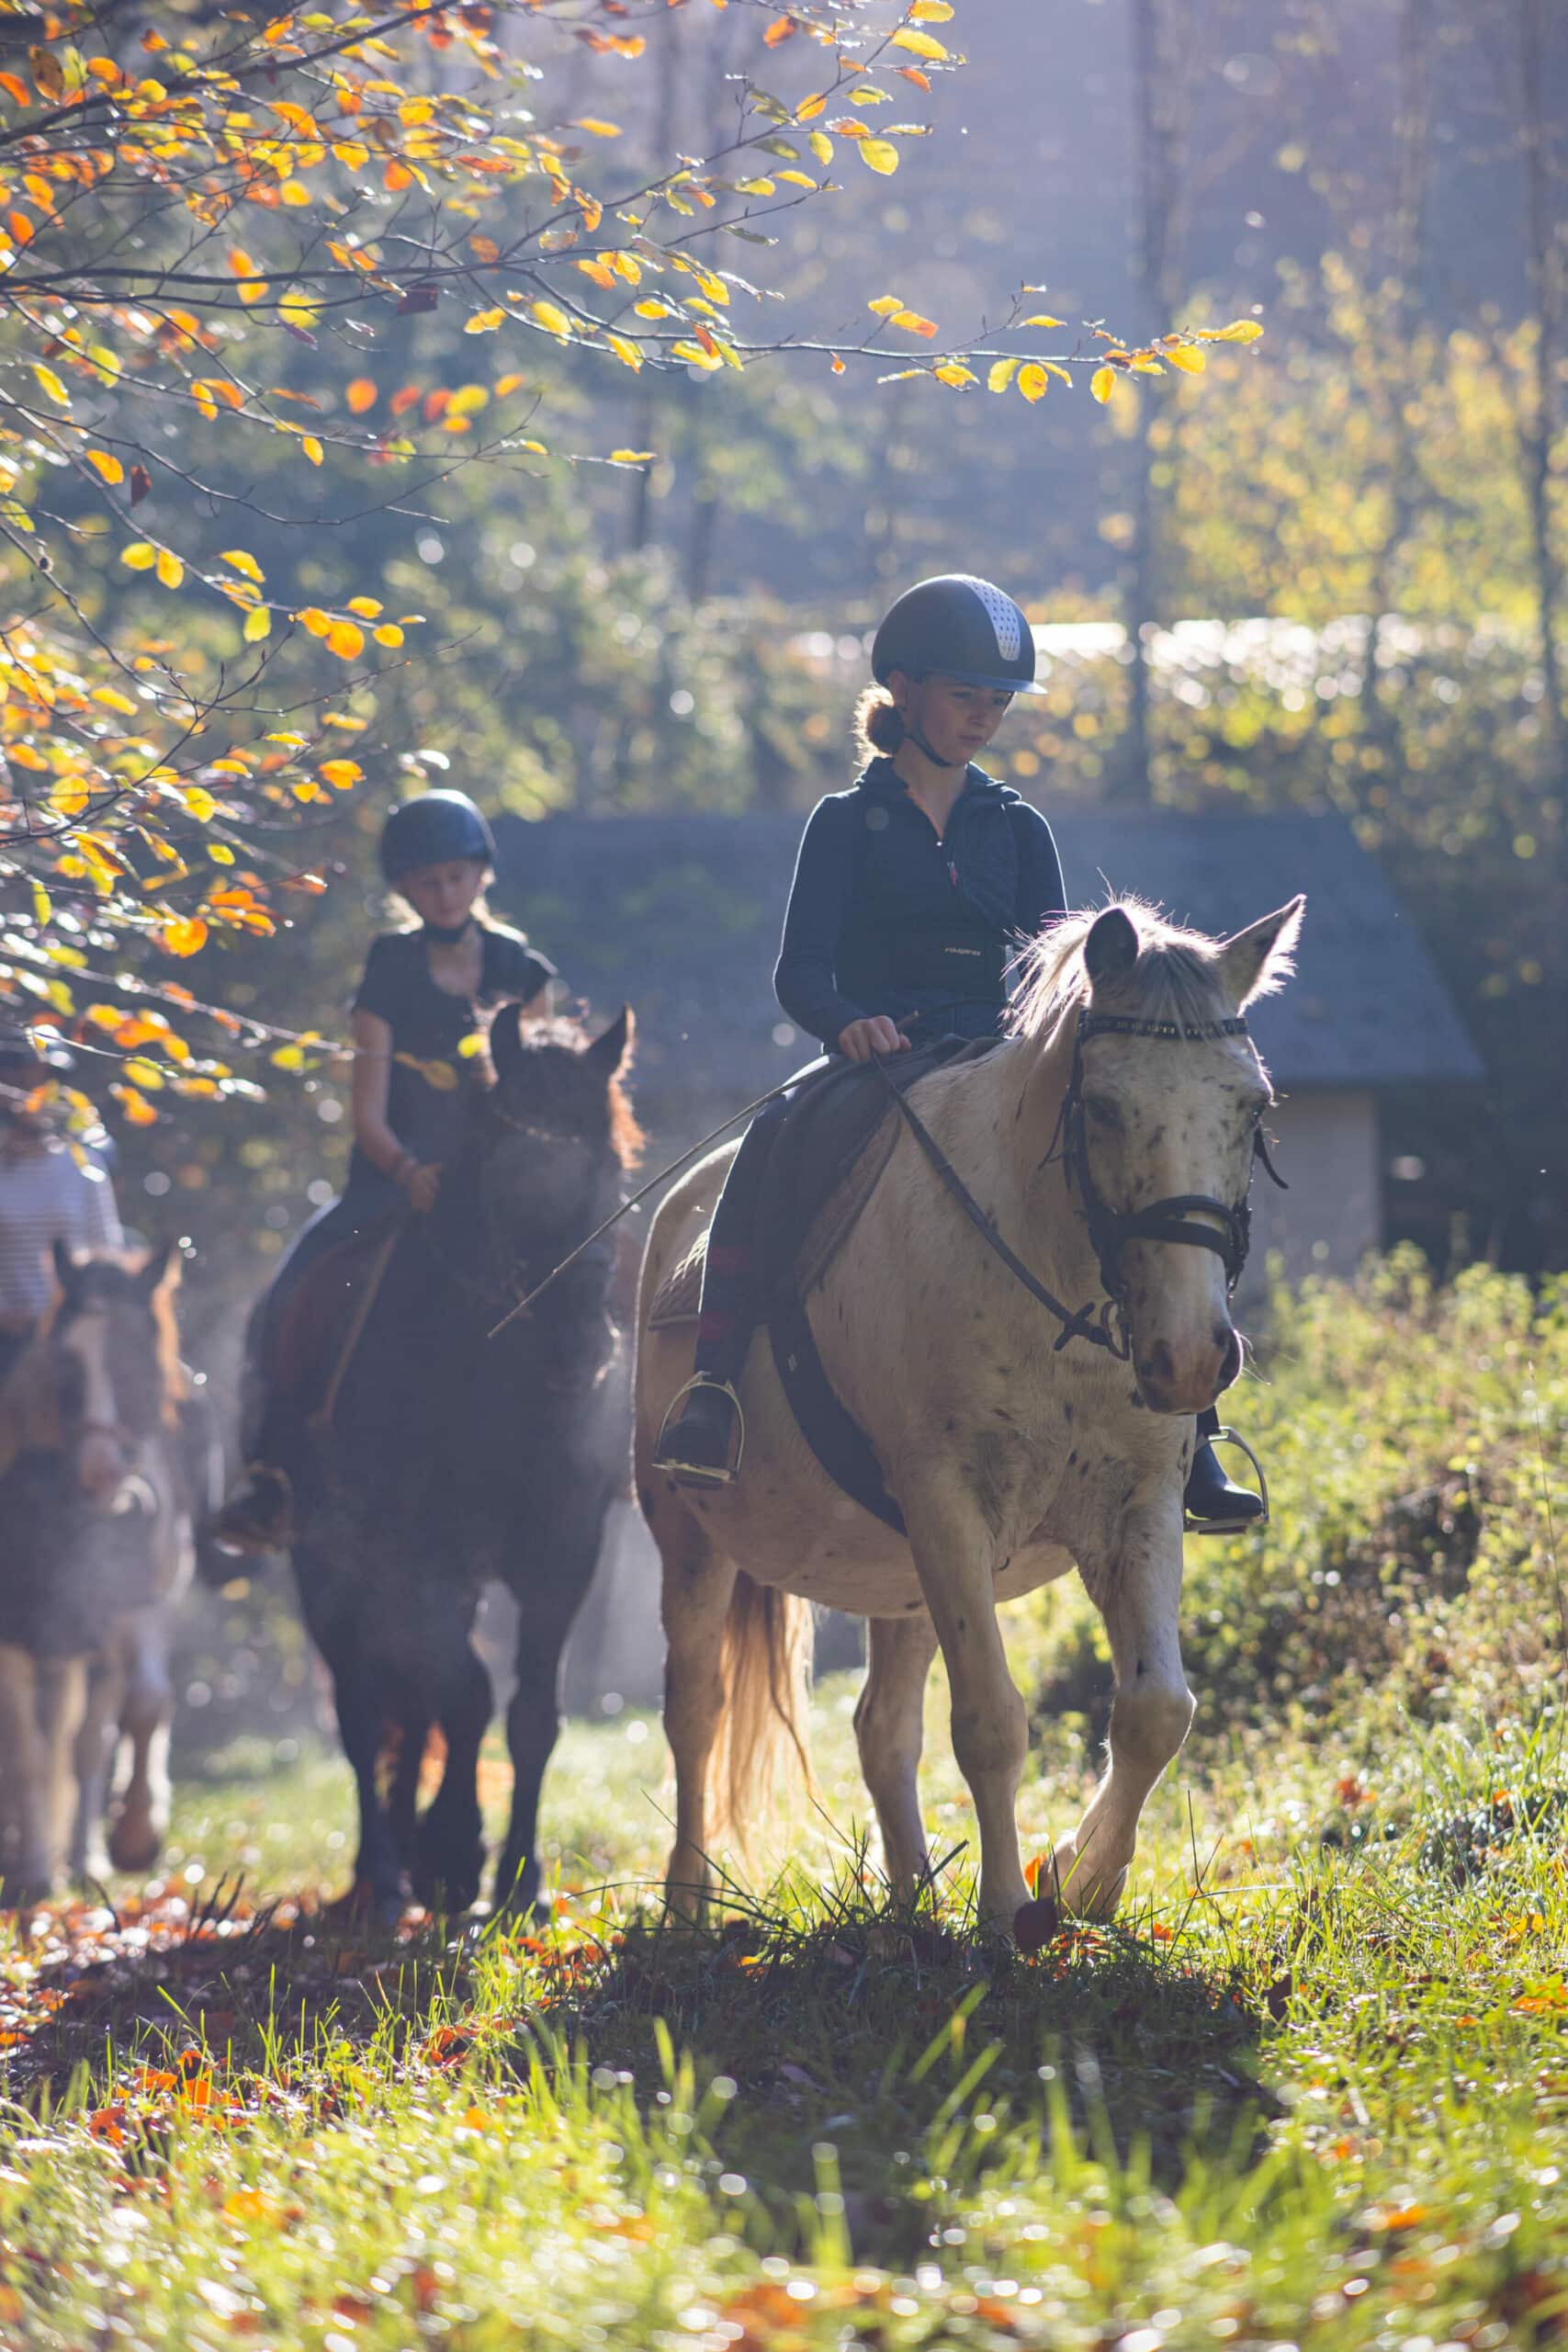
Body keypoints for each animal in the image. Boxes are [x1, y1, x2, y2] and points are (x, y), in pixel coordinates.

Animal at [288, 1006, 639, 1909]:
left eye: (612, 1166)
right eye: (510, 1175)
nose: (578, 1347)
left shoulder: (562, 1550)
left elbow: (530, 1713)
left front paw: (518, 1877)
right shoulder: (410, 1556)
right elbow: (467, 1695)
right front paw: (454, 1849)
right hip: (327, 1572)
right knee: (361, 1707)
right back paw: (381, 1876)